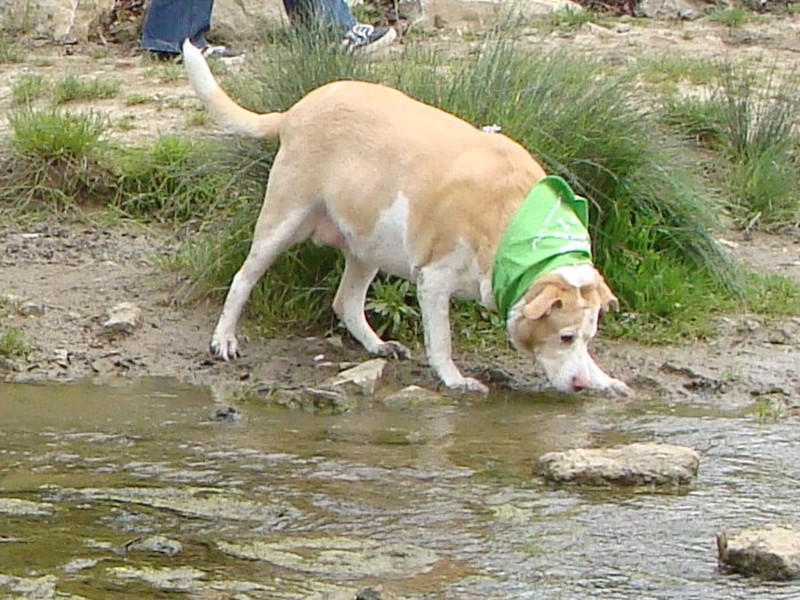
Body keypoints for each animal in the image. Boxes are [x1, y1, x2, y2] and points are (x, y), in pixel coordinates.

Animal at [181, 41, 632, 394]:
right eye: (564, 336)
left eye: (588, 337)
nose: (580, 385)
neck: (512, 221)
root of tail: (297, 109)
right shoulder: (433, 280)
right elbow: (443, 340)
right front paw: (455, 379)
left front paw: (603, 379)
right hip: (282, 221)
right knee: (243, 279)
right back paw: (224, 339)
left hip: (369, 242)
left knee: (346, 301)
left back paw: (377, 345)